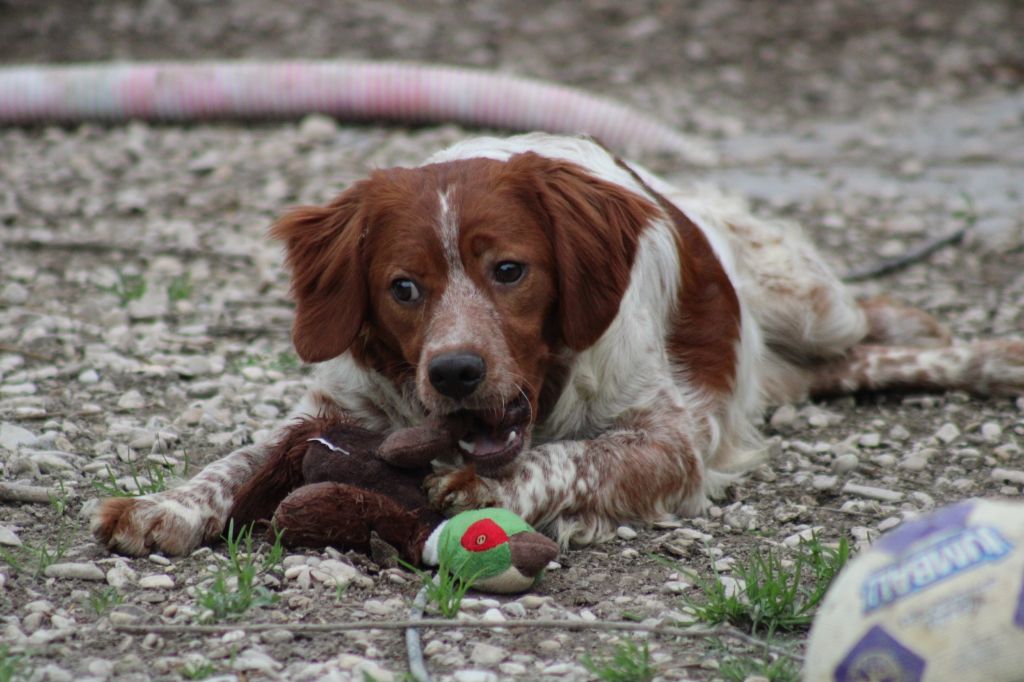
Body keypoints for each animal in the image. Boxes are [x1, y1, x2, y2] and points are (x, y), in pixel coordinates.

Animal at [92, 133, 1024, 552]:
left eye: (509, 270)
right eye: (404, 289)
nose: (455, 371)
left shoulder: (673, 438)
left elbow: (572, 457)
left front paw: (479, 488)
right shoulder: (335, 405)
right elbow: (242, 458)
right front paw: (165, 504)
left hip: (813, 300)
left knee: (869, 328)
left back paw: (983, 352)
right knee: (837, 368)